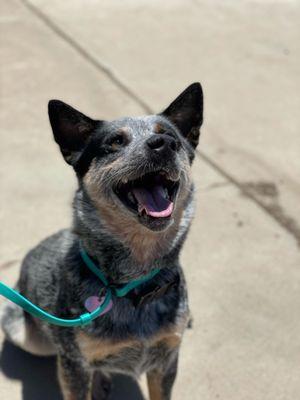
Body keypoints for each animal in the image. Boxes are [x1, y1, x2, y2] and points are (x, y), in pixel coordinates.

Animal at [0, 82, 204, 400]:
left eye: (172, 137)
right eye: (115, 142)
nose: (162, 144)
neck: (135, 287)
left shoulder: (167, 359)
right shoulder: (74, 364)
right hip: (22, 331)